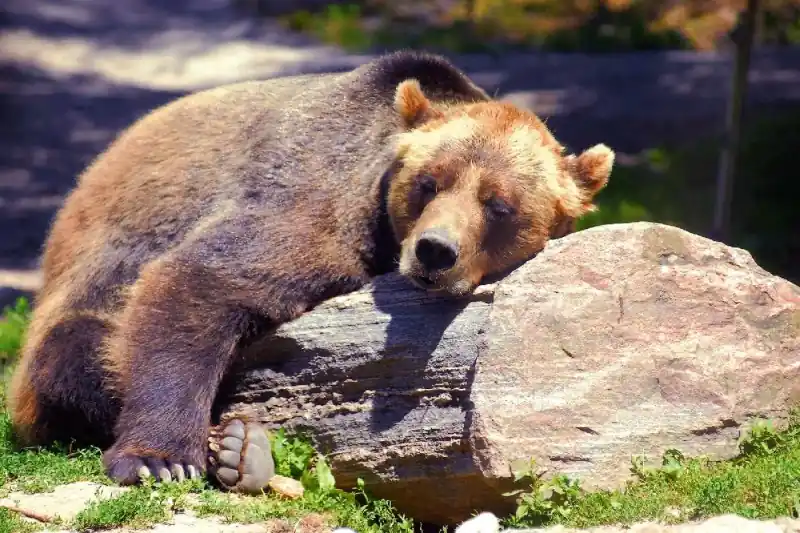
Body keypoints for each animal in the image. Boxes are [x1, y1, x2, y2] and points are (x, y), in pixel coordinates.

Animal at [8, 50, 614, 493]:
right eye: (429, 182)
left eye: (499, 204)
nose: (434, 251)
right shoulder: (320, 202)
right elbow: (204, 278)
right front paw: (160, 458)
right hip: (86, 288)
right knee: (80, 350)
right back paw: (234, 445)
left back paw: (242, 451)